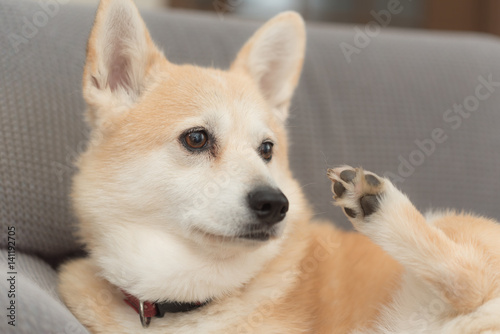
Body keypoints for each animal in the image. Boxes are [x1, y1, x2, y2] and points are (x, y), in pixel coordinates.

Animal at [58, 0, 500, 332]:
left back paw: (377, 206)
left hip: (446, 240)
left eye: (266, 149)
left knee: (469, 278)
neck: (189, 300)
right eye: (196, 139)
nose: (275, 204)